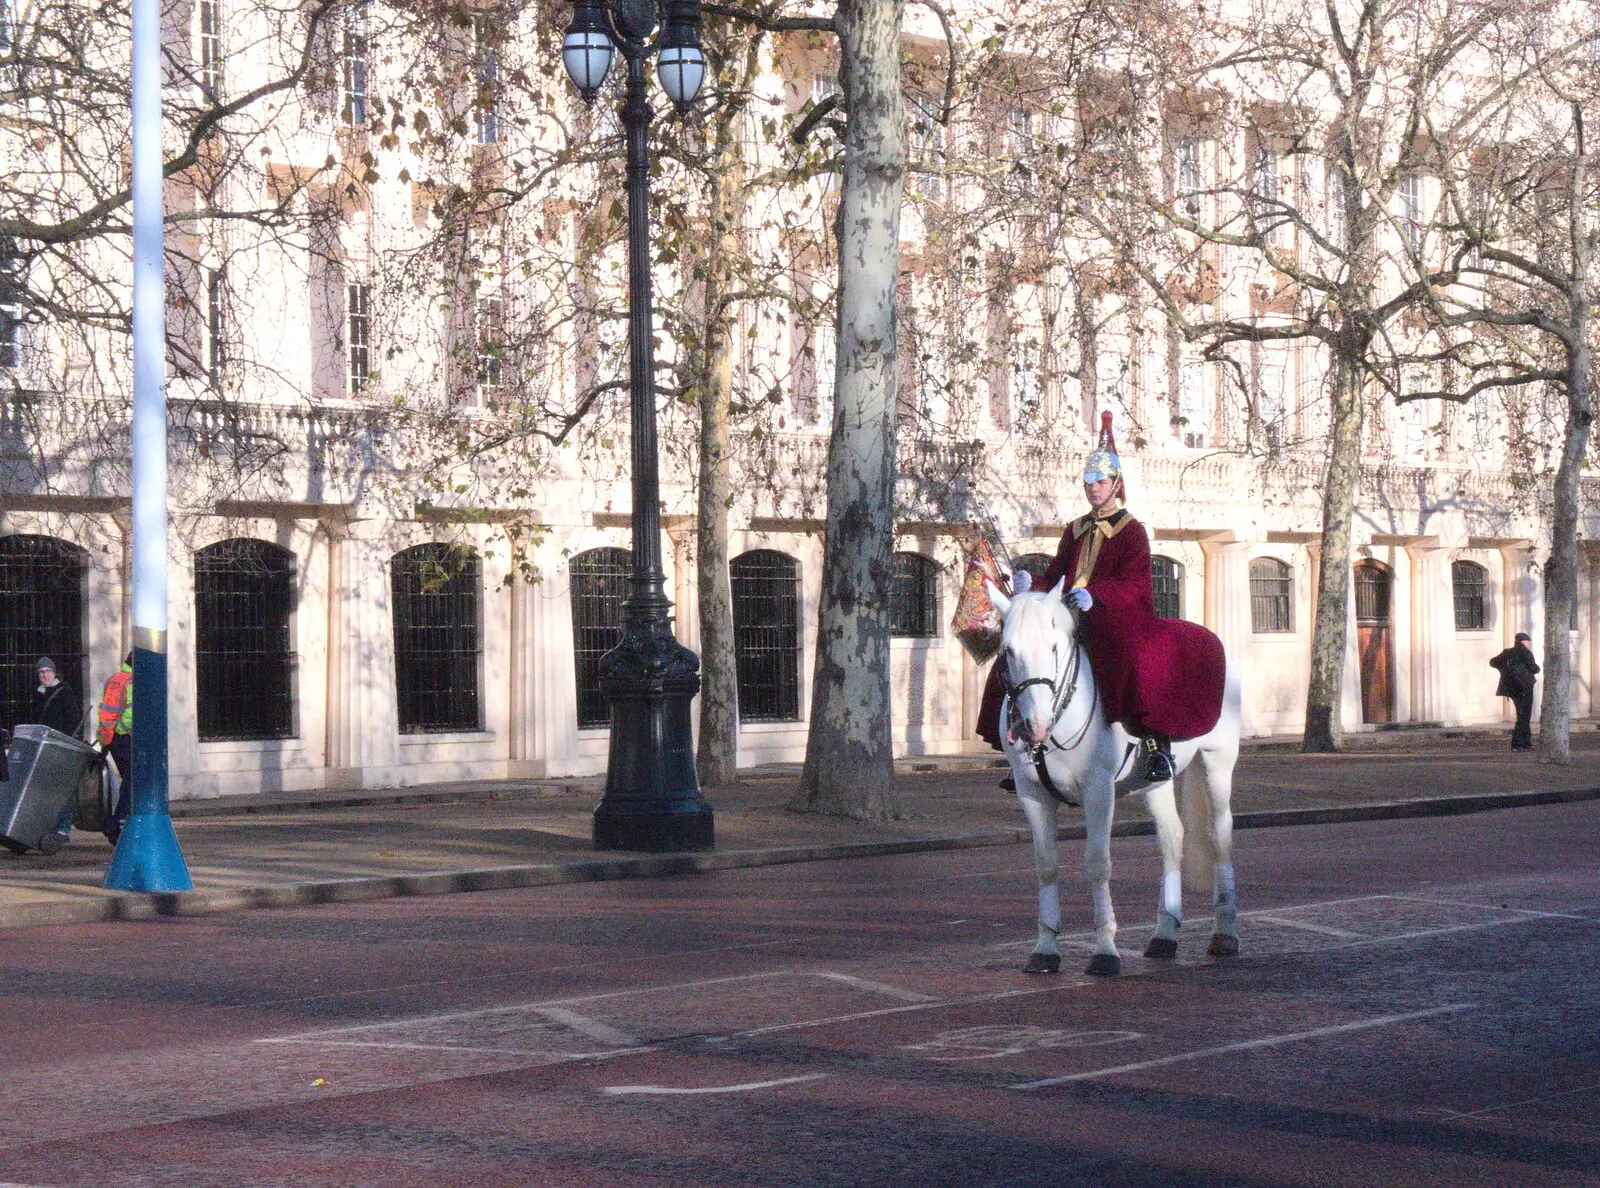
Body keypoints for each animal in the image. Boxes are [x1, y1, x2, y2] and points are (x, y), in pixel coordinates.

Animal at [992, 573, 1241, 979]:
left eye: (1054, 646)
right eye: (1008, 651)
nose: (1035, 725)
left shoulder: (1098, 790)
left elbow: (1097, 864)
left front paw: (1105, 950)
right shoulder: (1032, 794)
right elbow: (1046, 865)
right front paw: (1045, 948)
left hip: (1217, 761)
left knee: (1219, 836)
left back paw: (1224, 933)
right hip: (1156, 782)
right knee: (1172, 838)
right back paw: (1164, 934)